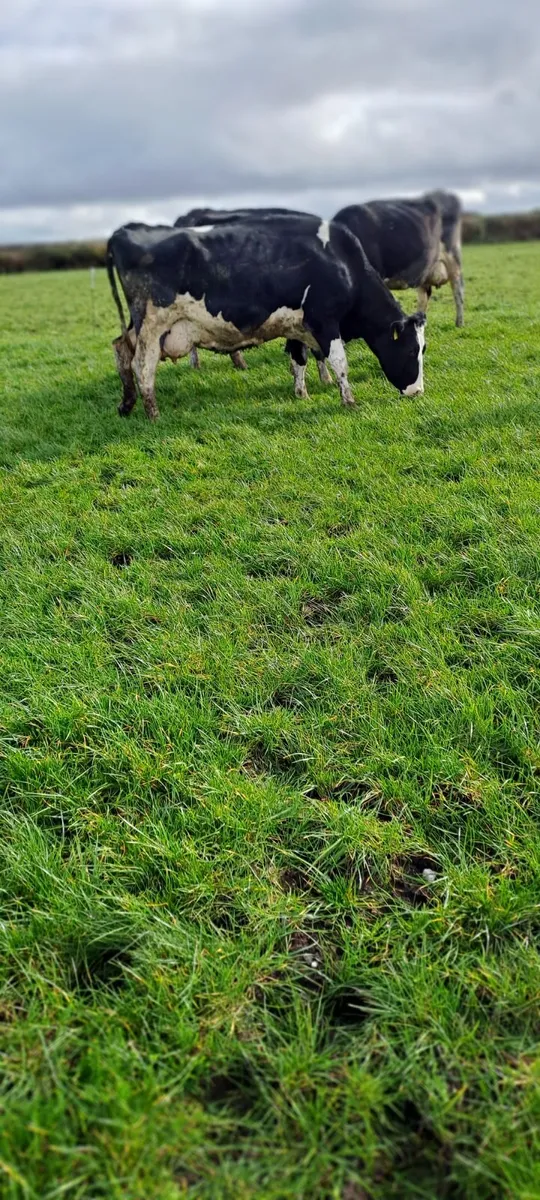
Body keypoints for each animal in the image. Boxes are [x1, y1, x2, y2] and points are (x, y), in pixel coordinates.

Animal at [106, 214, 427, 420]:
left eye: (424, 349)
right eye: (412, 349)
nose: (417, 392)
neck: (343, 262)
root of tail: (124, 231)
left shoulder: (298, 325)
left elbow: (299, 360)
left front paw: (301, 393)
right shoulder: (324, 320)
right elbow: (340, 363)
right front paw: (349, 401)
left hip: (140, 327)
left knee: (121, 349)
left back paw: (126, 404)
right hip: (152, 325)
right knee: (142, 366)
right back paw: (152, 413)